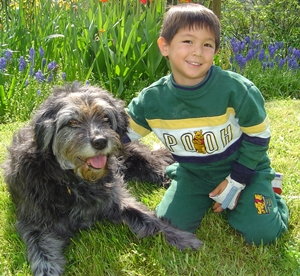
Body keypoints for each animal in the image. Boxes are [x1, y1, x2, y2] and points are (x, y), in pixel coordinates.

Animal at [2, 84, 203, 276]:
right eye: (72, 122)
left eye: (105, 117)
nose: (100, 142)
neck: (72, 180)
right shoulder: (33, 223)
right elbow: (41, 254)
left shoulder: (117, 199)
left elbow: (149, 218)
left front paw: (181, 237)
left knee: (160, 167)